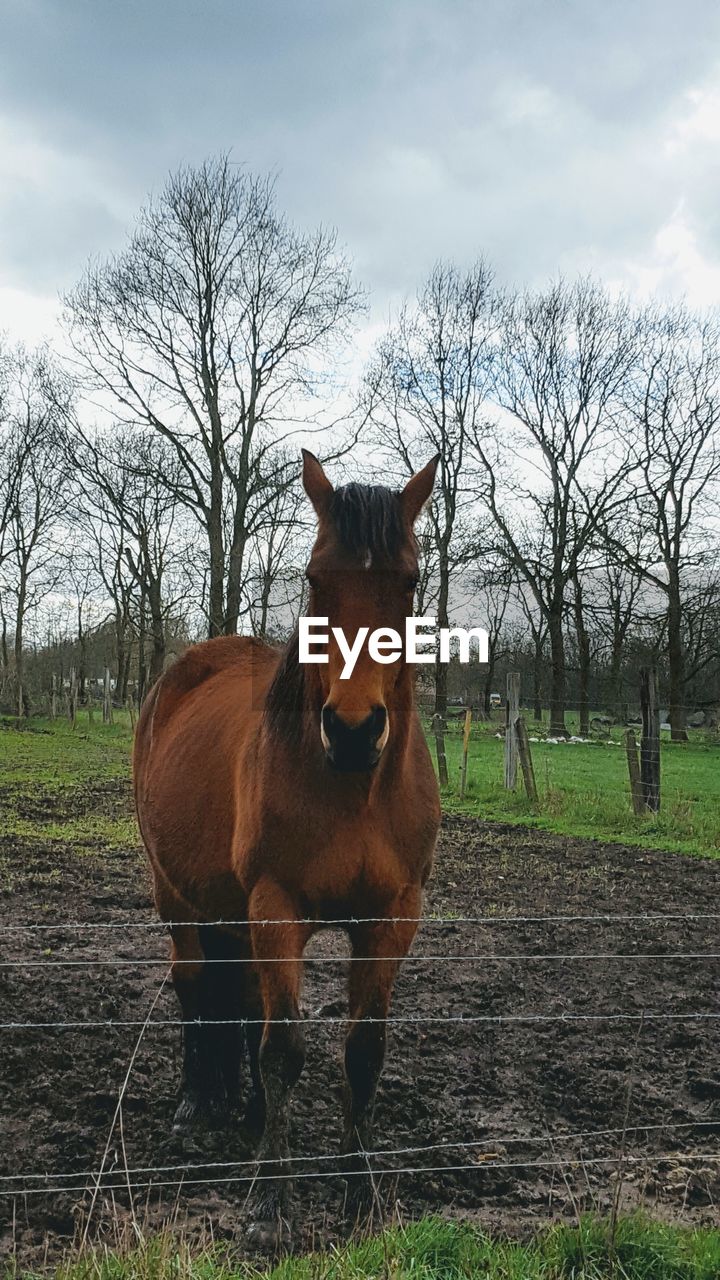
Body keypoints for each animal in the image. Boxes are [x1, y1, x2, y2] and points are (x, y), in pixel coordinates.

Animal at [131, 448, 440, 1239]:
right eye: (315, 579)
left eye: (409, 582)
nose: (355, 731)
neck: (351, 790)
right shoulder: (278, 907)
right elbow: (283, 1050)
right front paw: (269, 1206)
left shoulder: (391, 917)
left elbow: (362, 1052)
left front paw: (361, 1195)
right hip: (178, 896)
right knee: (193, 985)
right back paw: (194, 1105)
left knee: (239, 995)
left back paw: (241, 1110)